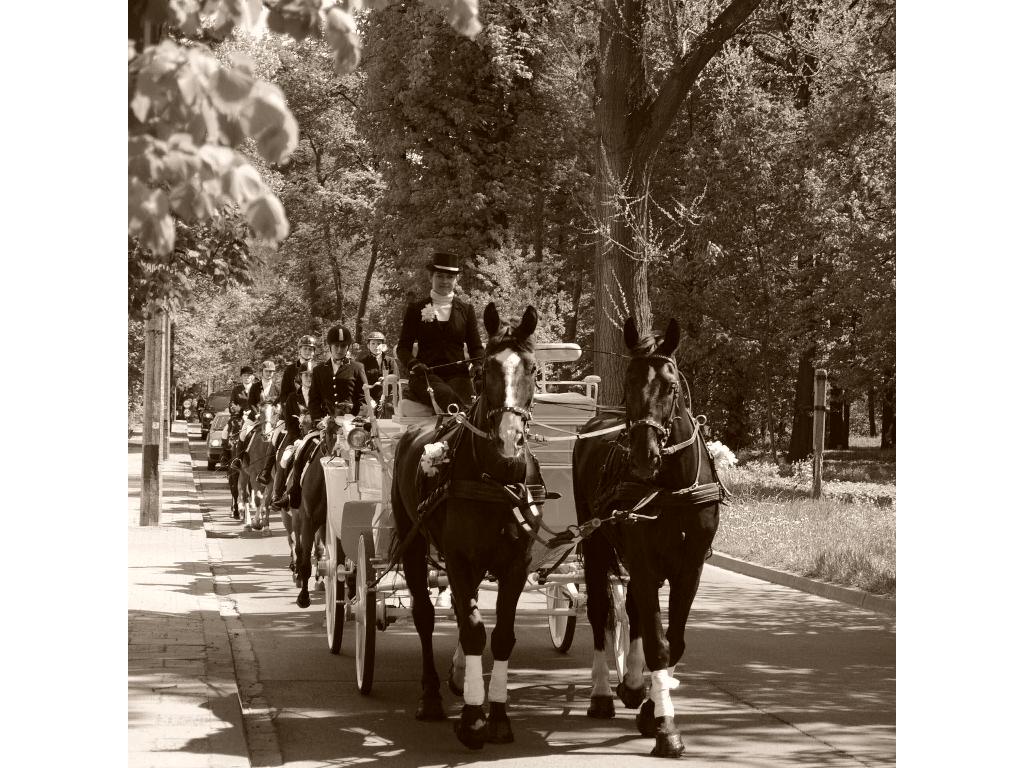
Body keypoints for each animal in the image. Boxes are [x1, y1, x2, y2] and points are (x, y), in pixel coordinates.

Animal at [387, 303, 540, 753]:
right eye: (484, 369)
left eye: (533, 369)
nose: (509, 442)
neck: (495, 477)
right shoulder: (458, 557)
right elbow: (473, 632)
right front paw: (473, 721)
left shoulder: (516, 564)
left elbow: (501, 635)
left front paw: (499, 718)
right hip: (415, 543)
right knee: (424, 614)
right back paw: (432, 696)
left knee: (460, 607)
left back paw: (457, 677)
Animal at [573, 317, 724, 757]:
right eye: (627, 384)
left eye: (670, 387)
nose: (644, 456)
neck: (673, 486)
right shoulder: (640, 558)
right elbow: (658, 642)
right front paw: (666, 726)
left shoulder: (689, 567)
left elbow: (673, 640)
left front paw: (652, 706)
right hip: (596, 543)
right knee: (600, 612)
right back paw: (603, 693)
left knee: (633, 611)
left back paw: (633, 685)